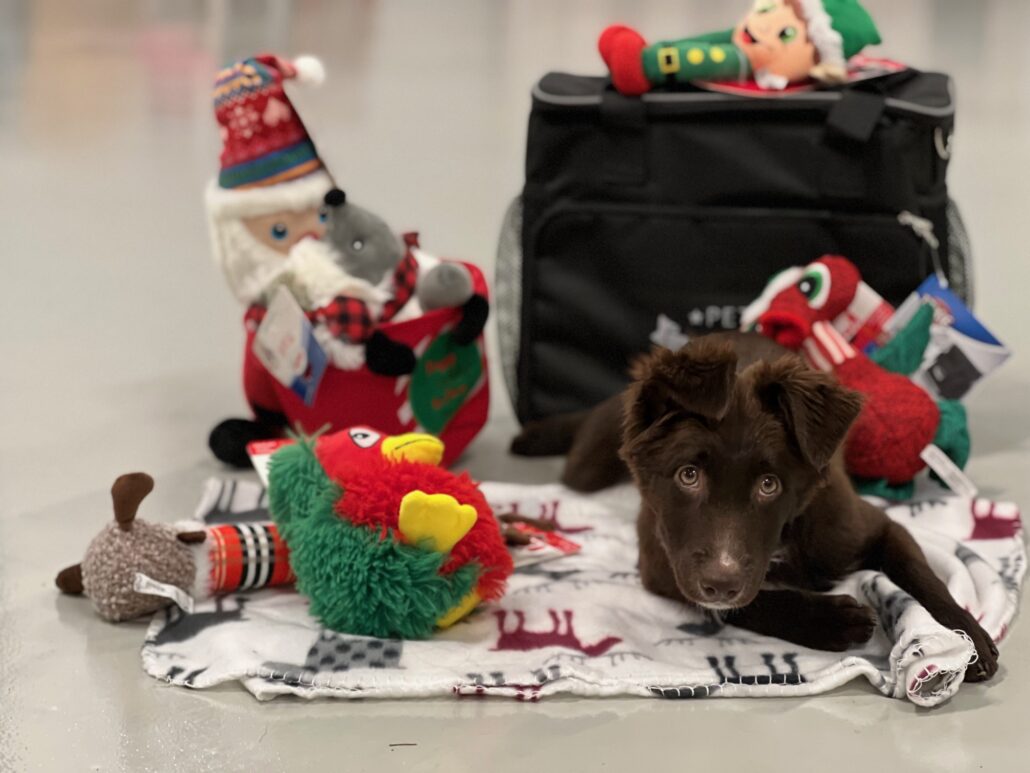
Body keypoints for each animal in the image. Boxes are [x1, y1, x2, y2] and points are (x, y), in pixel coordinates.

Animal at [511, 332, 998, 681]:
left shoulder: (874, 526)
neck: (785, 539)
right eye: (688, 475)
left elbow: (924, 576)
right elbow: (748, 602)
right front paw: (832, 621)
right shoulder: (664, 564)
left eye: (769, 485)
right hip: (588, 466)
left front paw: (967, 638)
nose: (720, 580)